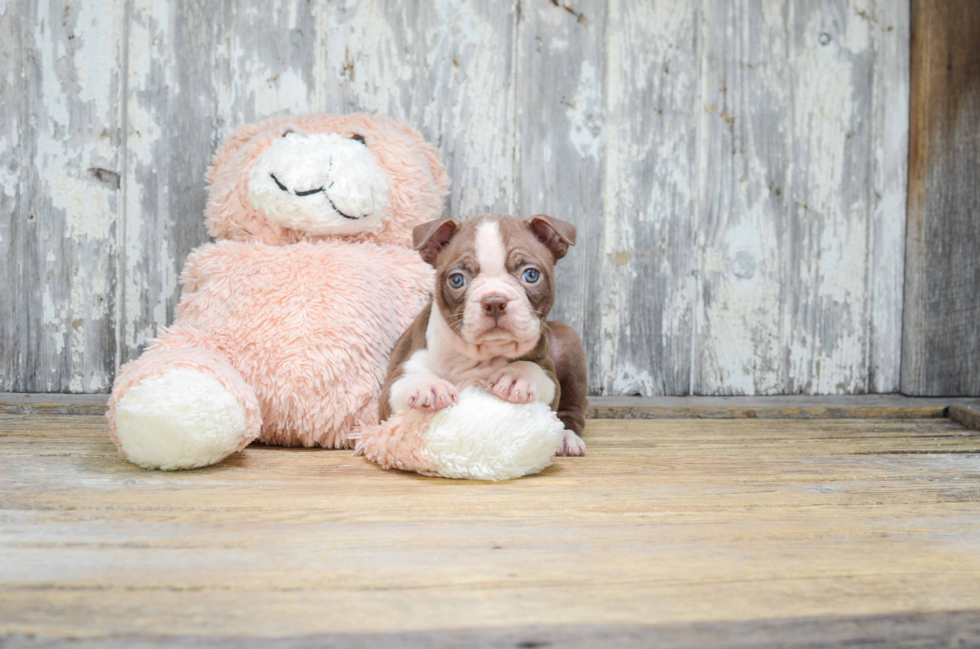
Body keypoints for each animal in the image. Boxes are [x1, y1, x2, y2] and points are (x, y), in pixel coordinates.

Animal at [378, 214, 584, 456]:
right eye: (457, 280)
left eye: (531, 275)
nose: (494, 301)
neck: (480, 355)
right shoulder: (389, 395)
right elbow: (403, 383)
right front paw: (427, 385)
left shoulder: (550, 377)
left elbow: (537, 372)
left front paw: (517, 376)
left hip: (568, 339)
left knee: (571, 412)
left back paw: (567, 438)